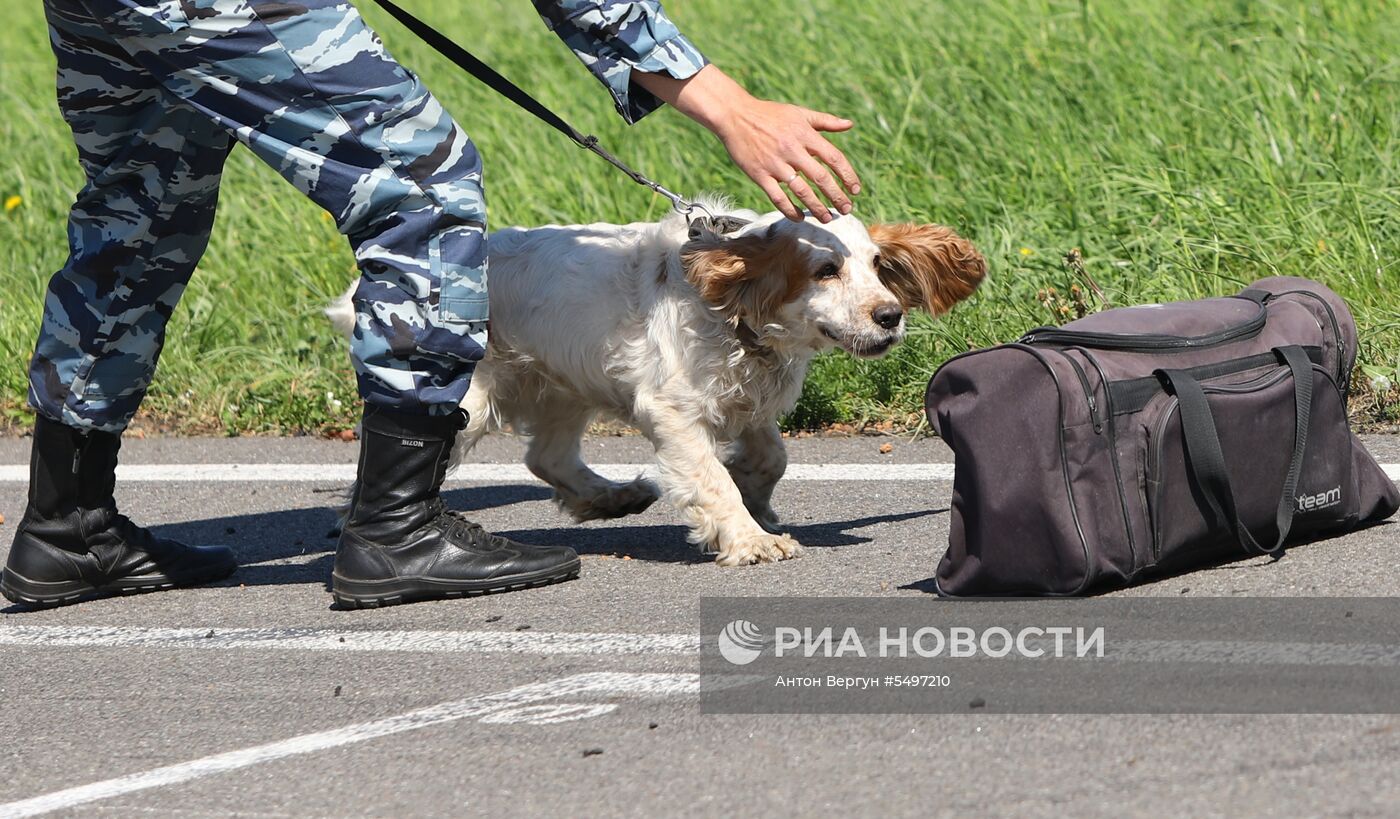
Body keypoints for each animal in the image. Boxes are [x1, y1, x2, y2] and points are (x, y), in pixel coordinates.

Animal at [330, 201, 985, 565]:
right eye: (826, 271)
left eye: (878, 267)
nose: (889, 315)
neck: (730, 310)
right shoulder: (672, 409)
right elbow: (711, 479)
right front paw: (749, 539)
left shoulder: (747, 401)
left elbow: (771, 457)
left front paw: (757, 503)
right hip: (470, 394)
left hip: (565, 383)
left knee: (547, 456)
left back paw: (609, 496)